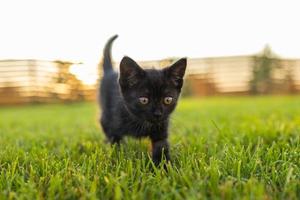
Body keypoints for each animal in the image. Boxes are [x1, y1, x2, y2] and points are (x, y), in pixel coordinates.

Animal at [99, 35, 186, 165]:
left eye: (167, 100)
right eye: (144, 100)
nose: (157, 114)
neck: (140, 122)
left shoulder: (161, 129)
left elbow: (161, 147)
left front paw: (165, 166)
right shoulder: (108, 123)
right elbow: (115, 144)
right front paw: (116, 159)